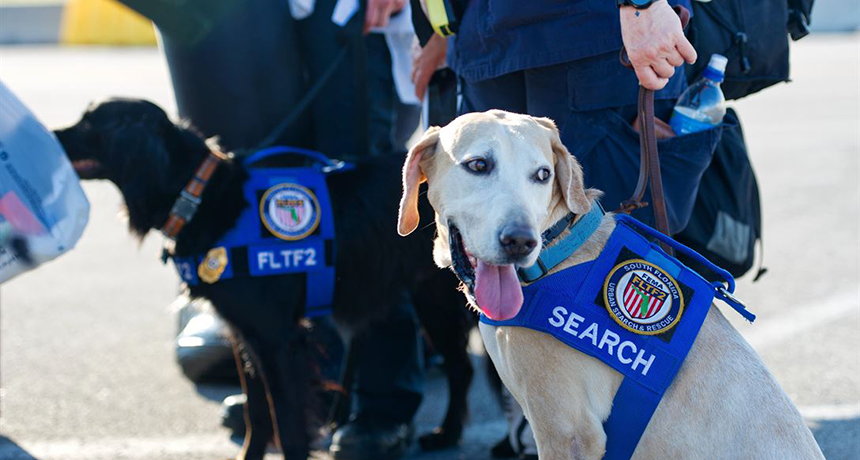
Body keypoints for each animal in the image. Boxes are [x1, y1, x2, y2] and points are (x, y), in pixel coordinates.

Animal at [57, 99, 474, 460]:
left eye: (90, 123)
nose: (53, 133)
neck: (204, 196)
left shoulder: (278, 341)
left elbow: (287, 425)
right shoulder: (246, 335)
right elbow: (258, 414)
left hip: (442, 301)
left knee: (461, 367)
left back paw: (448, 434)